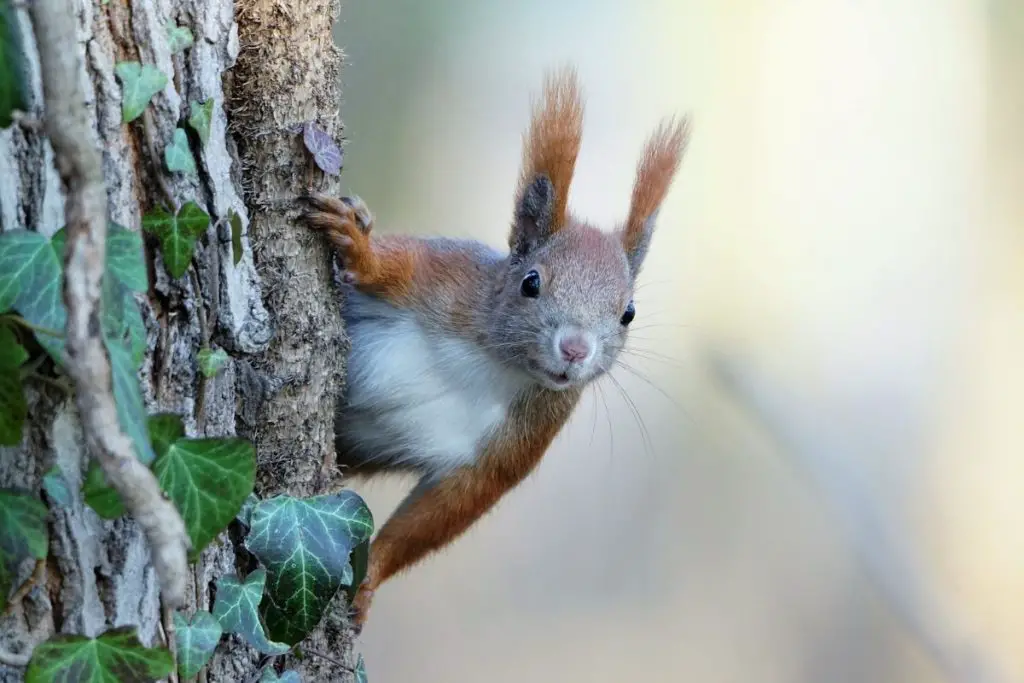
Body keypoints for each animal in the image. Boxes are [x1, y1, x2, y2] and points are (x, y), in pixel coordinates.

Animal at [301, 66, 688, 634]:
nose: (575, 349)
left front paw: (369, 578)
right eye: (531, 282)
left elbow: (448, 508)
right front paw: (361, 247)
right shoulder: (444, 277)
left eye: (628, 314)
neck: (492, 362)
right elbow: (393, 265)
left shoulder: (521, 439)